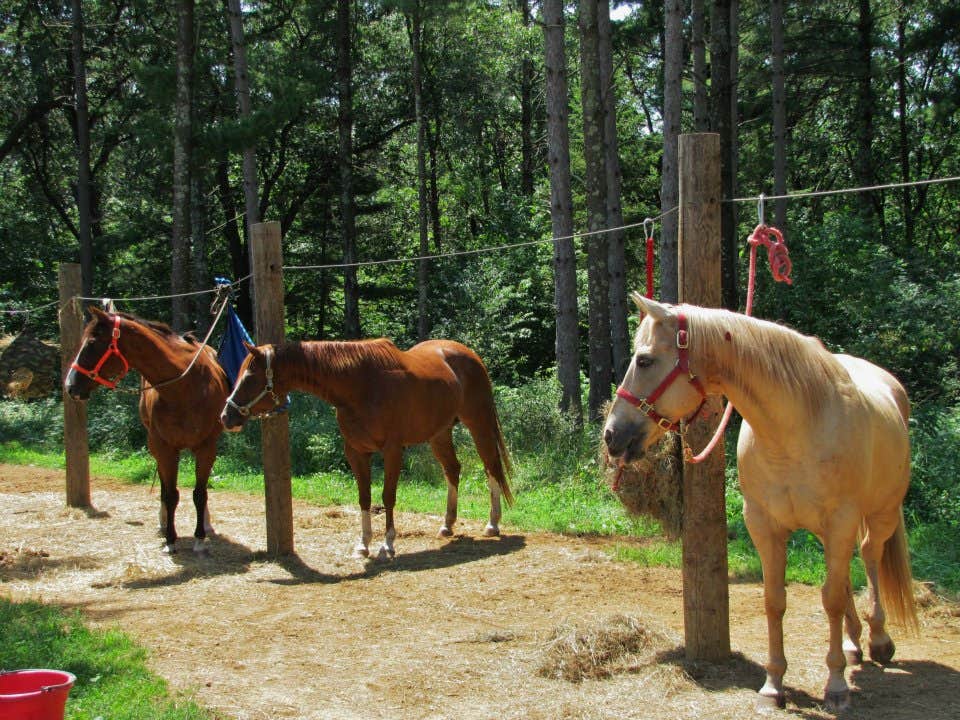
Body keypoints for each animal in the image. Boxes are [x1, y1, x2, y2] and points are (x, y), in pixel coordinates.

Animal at [64, 306, 230, 554]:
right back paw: (163, 522)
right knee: (163, 486)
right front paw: (170, 539)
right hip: (157, 448)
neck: (184, 387)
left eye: (92, 342)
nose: (70, 386)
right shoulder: (164, 448)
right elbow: (170, 494)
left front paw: (200, 538)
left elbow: (200, 494)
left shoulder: (207, 447)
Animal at [219, 337, 514, 558]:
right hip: (439, 434)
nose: (226, 417)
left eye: (249, 377)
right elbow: (365, 498)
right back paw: (447, 525)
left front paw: (388, 544)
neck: (360, 385)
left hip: (478, 424)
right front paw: (363, 544)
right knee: (453, 470)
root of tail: (469, 355)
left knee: (491, 467)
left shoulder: (392, 450)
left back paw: (492, 524)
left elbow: (387, 496)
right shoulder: (356, 452)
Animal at [603, 293, 917, 712]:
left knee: (869, 556)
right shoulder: (764, 525)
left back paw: (878, 640)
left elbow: (831, 599)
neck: (795, 428)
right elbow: (775, 600)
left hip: (879, 514)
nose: (611, 434)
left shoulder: (840, 519)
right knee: (848, 572)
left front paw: (835, 685)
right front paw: (773, 684)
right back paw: (853, 642)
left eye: (645, 360)